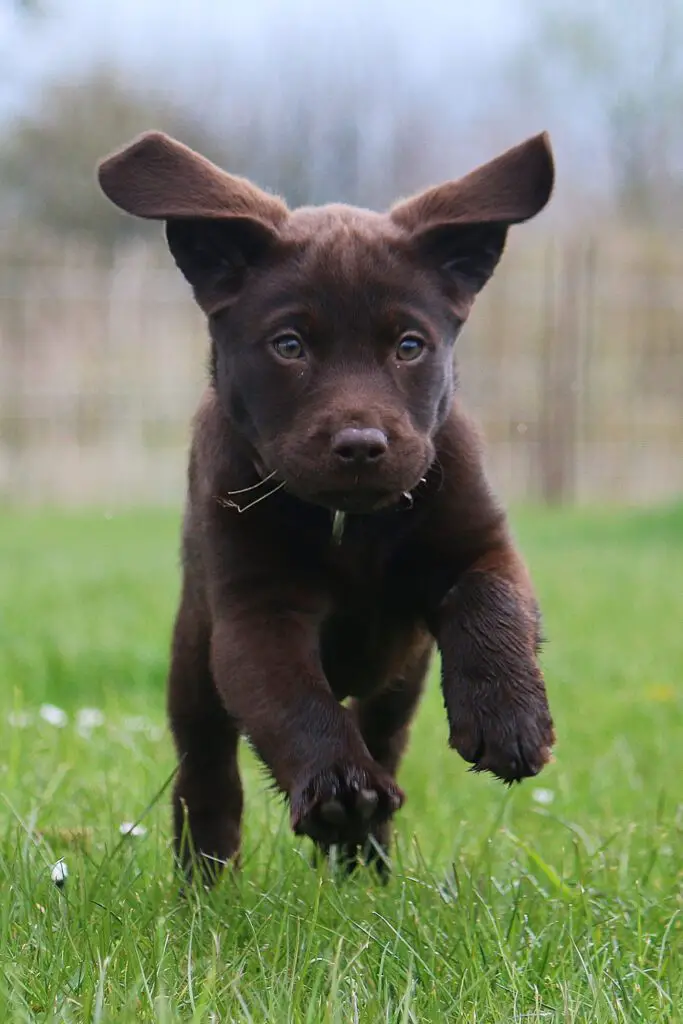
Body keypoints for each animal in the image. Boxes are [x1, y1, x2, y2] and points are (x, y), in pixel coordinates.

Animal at [97, 128, 557, 880]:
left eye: (409, 346)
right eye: (289, 345)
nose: (362, 445)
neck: (352, 527)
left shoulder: (479, 540)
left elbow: (491, 599)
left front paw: (509, 719)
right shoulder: (253, 610)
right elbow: (292, 698)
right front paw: (342, 789)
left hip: (399, 682)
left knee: (383, 733)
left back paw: (365, 870)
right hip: (193, 664)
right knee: (206, 774)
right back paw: (205, 881)